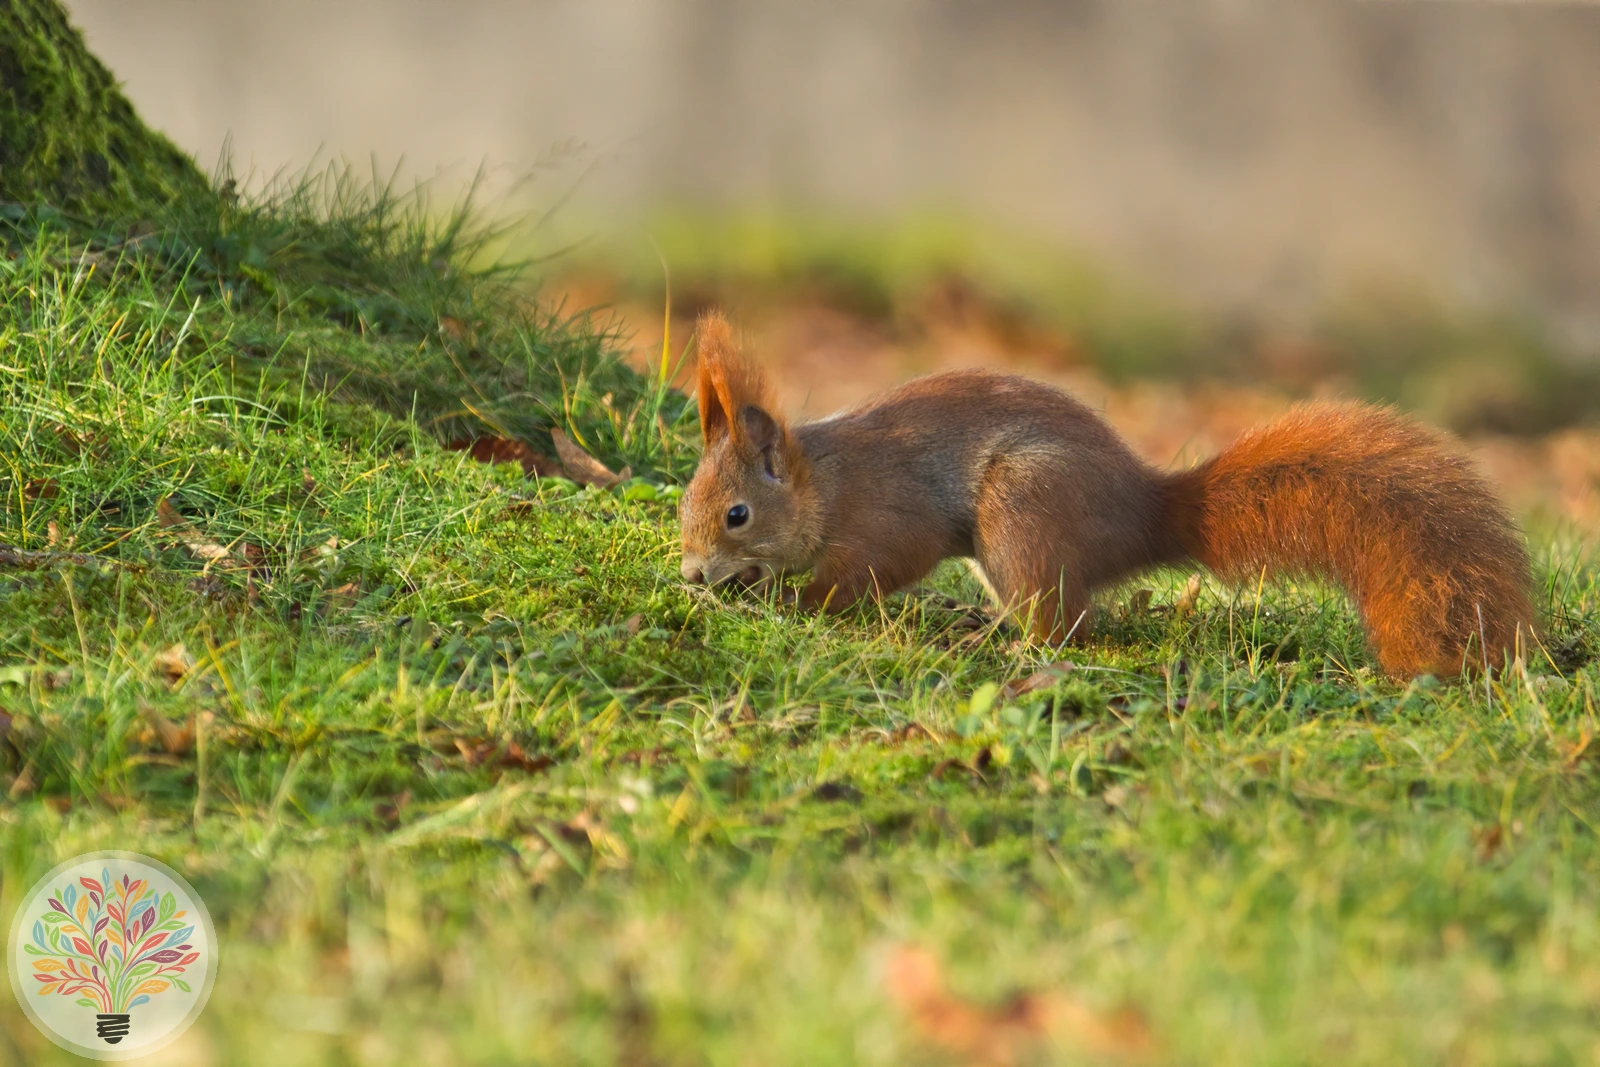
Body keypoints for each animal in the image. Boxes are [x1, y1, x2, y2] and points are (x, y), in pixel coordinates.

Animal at [677, 311, 1535, 678]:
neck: (824, 483)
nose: (690, 573)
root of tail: (1146, 514)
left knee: (1068, 625)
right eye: (686, 504)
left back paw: (1004, 644)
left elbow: (864, 572)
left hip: (1023, 512)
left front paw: (790, 598)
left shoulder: (888, 514)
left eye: (737, 514)